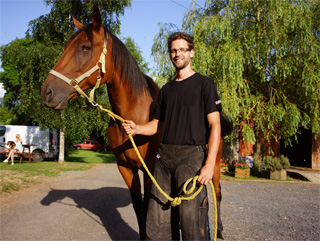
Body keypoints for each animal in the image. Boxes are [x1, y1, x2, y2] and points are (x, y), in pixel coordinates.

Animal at [40, 5, 225, 239]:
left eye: (85, 47)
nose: (47, 92)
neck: (136, 114)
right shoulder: (126, 167)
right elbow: (139, 206)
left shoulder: (150, 170)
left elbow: (150, 204)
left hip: (214, 165)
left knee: (216, 194)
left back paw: (219, 230)